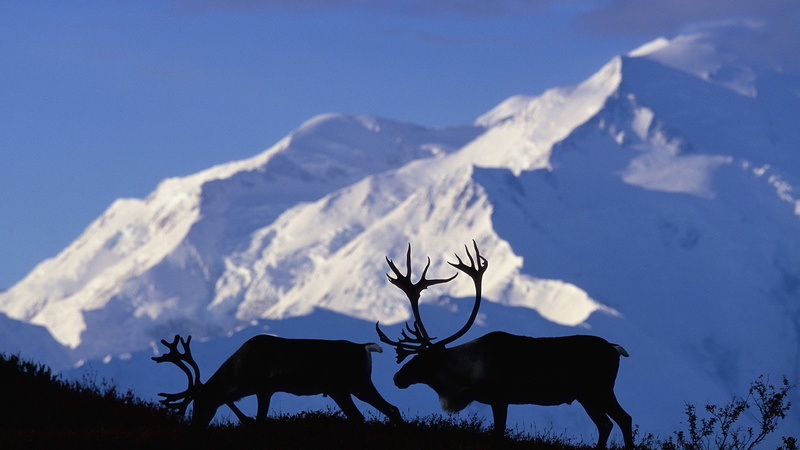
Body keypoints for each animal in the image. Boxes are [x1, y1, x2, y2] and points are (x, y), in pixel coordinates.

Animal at [152, 334, 402, 427]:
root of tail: (364, 348)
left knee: (373, 413)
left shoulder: (264, 387)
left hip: (350, 385)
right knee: (387, 410)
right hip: (349, 387)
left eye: (199, 401)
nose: (195, 425)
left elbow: (261, 419)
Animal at [375, 241, 634, 449]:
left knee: (623, 419)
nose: (397, 377)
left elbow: (498, 434)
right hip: (585, 395)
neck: (467, 374)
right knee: (606, 424)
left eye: (423, 359)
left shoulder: (500, 397)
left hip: (599, 388)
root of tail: (614, 348)